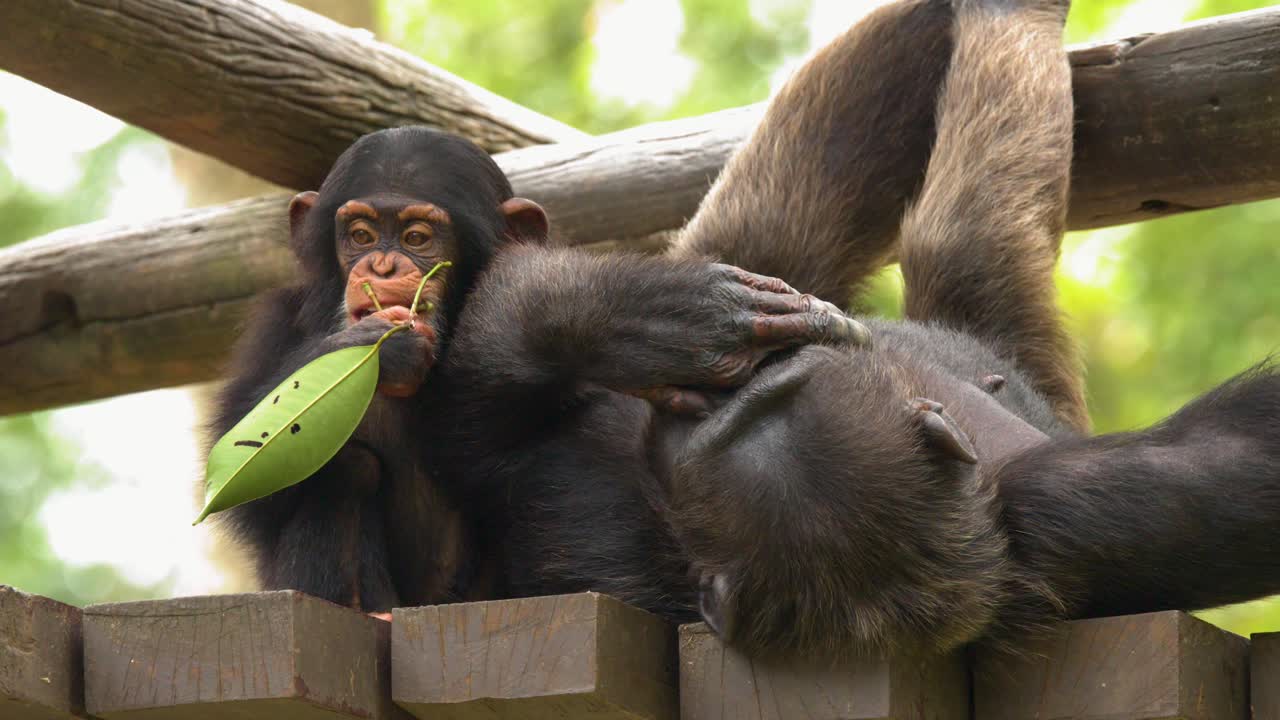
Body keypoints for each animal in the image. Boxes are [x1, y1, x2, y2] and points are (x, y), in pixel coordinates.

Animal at [208, 129, 549, 613]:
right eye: (361, 235)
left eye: (417, 237)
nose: (381, 266)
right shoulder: (276, 322)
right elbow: (244, 476)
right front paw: (380, 346)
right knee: (352, 467)